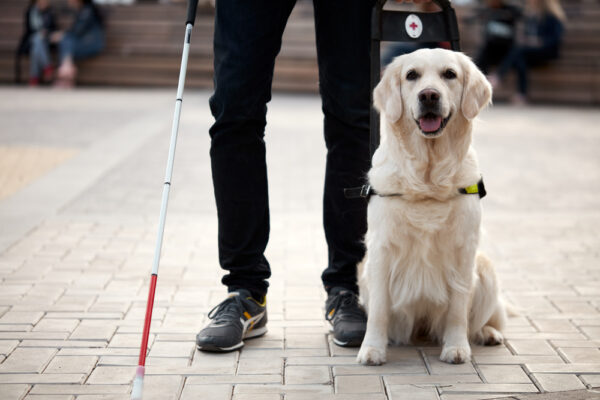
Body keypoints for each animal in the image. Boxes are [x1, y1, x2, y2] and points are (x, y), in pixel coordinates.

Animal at [356, 49, 506, 366]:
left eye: (450, 74)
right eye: (411, 75)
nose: (428, 95)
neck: (427, 179)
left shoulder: (464, 250)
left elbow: (458, 309)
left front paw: (456, 347)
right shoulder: (381, 249)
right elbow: (378, 310)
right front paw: (372, 349)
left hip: (486, 269)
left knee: (485, 319)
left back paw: (487, 333)